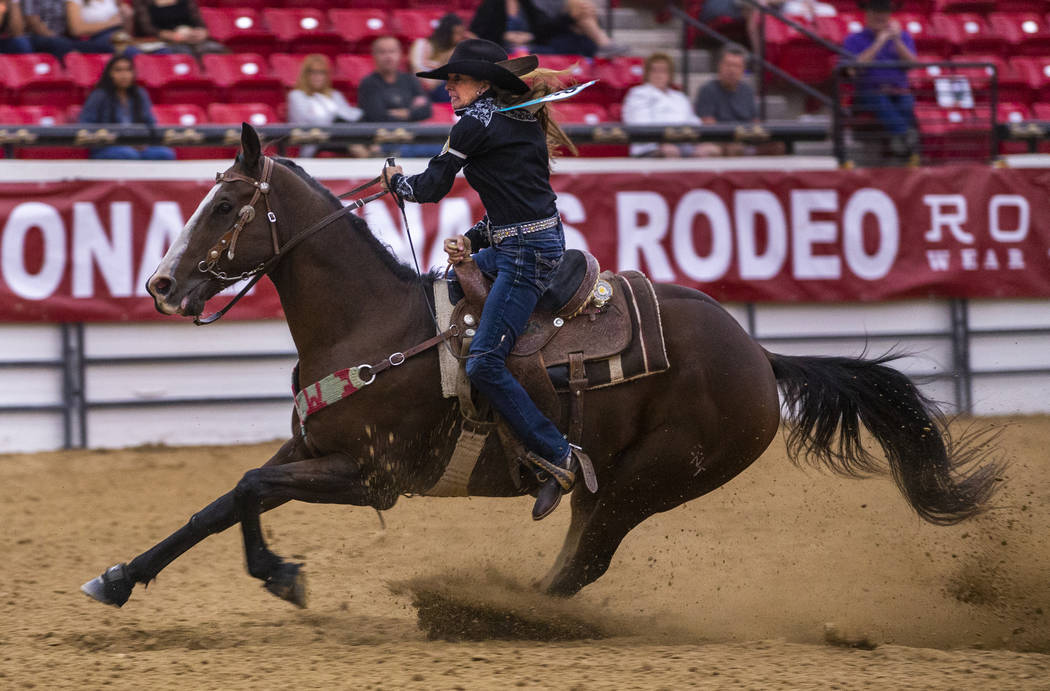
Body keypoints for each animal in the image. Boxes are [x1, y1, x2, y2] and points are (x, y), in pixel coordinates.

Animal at [81, 126, 999, 604]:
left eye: (229, 204)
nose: (161, 284)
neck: (369, 323)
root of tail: (759, 355)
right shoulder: (311, 450)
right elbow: (223, 499)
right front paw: (123, 575)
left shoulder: (372, 473)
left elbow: (247, 489)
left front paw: (279, 574)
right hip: (618, 482)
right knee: (577, 556)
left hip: (651, 479)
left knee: (582, 563)